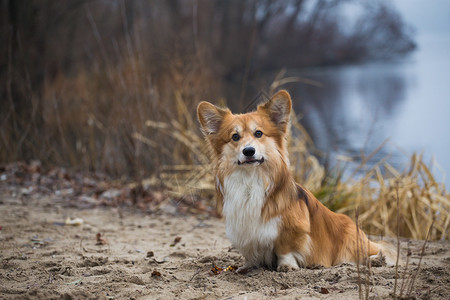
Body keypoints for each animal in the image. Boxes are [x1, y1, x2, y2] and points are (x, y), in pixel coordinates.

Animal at [197, 89, 394, 272]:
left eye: (258, 133)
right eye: (235, 137)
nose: (249, 151)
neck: (250, 179)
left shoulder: (291, 229)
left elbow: (286, 249)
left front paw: (287, 266)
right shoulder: (243, 229)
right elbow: (250, 253)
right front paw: (248, 266)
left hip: (350, 239)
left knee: (372, 251)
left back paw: (376, 259)